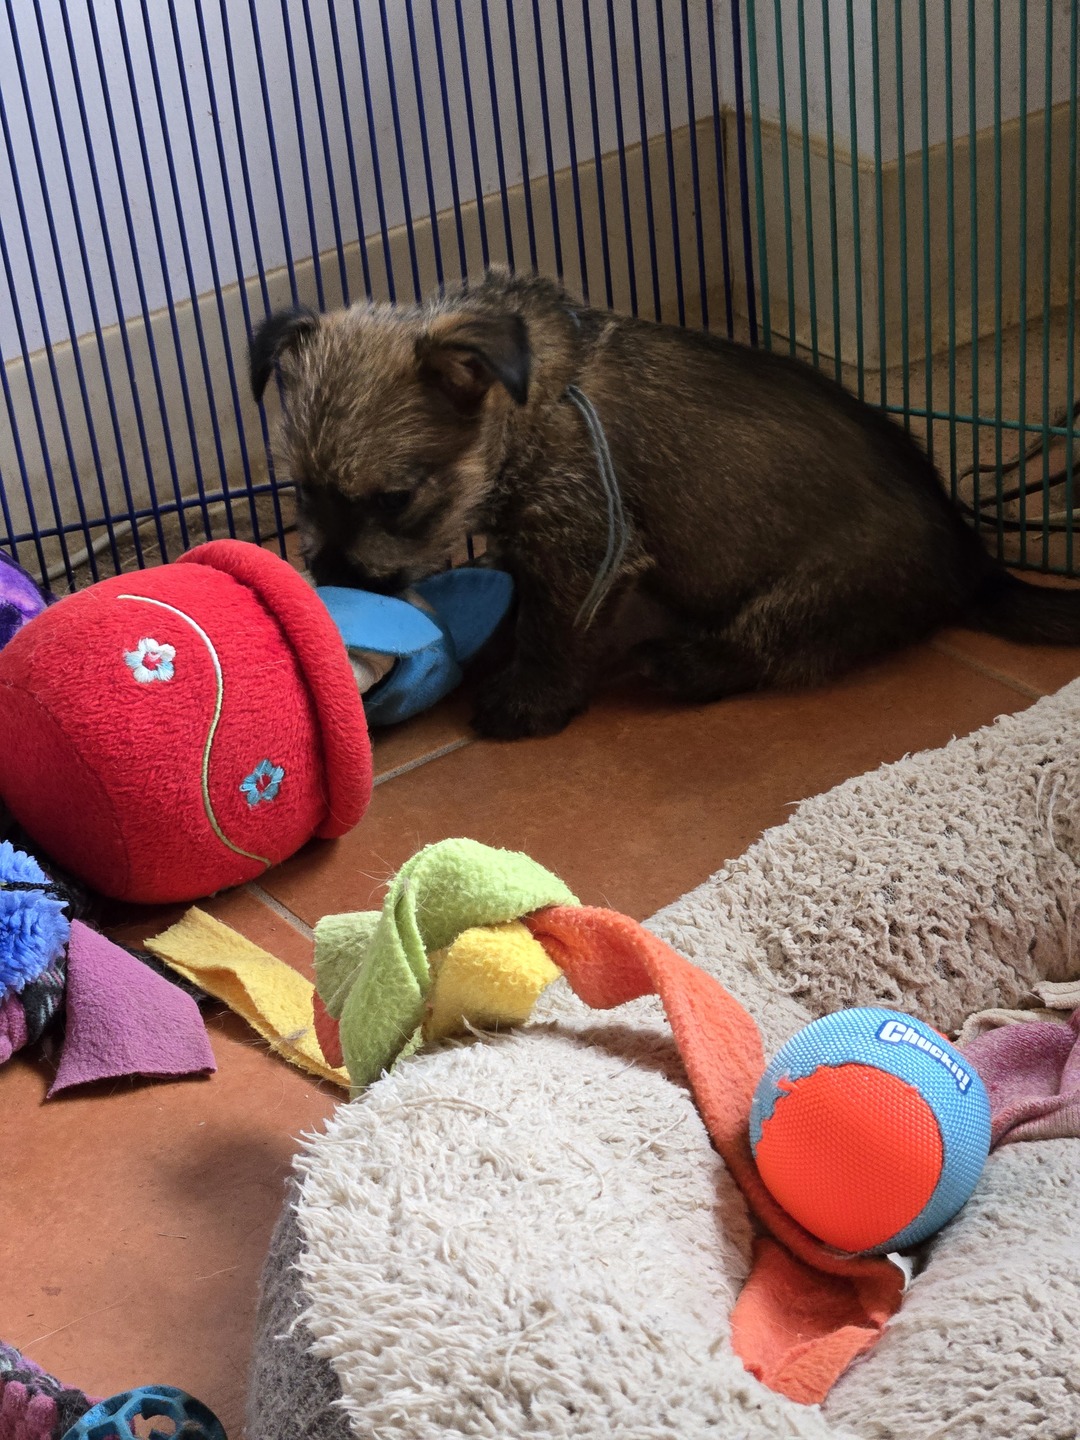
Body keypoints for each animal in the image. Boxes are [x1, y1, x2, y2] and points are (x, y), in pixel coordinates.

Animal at [250, 269, 1080, 739]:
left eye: (395, 499)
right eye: (301, 490)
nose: (332, 584)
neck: (525, 407)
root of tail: (974, 563)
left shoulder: (580, 552)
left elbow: (552, 634)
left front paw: (528, 700)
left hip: (820, 592)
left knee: (772, 648)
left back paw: (686, 662)